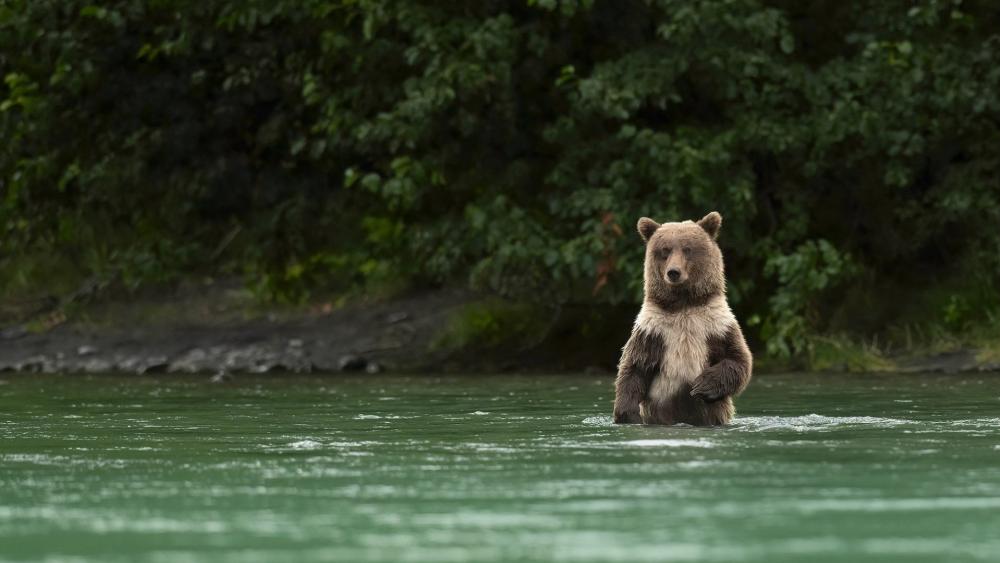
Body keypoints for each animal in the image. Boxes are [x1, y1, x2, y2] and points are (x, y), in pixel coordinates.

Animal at [613, 211, 752, 426]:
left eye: (687, 249)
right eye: (665, 250)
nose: (673, 272)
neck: (684, 305)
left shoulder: (717, 324)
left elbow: (738, 358)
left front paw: (702, 385)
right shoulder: (653, 329)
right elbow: (634, 366)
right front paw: (628, 414)